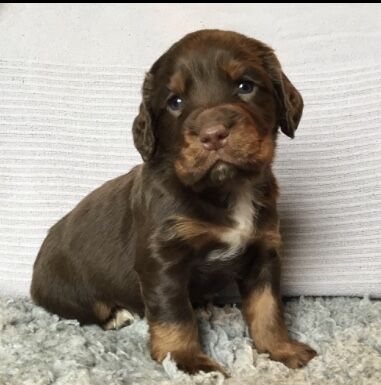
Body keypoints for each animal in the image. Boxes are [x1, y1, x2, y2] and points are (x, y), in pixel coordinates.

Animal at [30, 30, 314, 376]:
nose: (213, 135)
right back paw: (118, 315)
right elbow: (174, 315)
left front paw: (282, 349)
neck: (226, 189)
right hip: (69, 292)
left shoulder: (263, 249)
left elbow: (267, 307)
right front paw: (187, 362)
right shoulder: (162, 259)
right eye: (175, 102)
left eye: (245, 86)